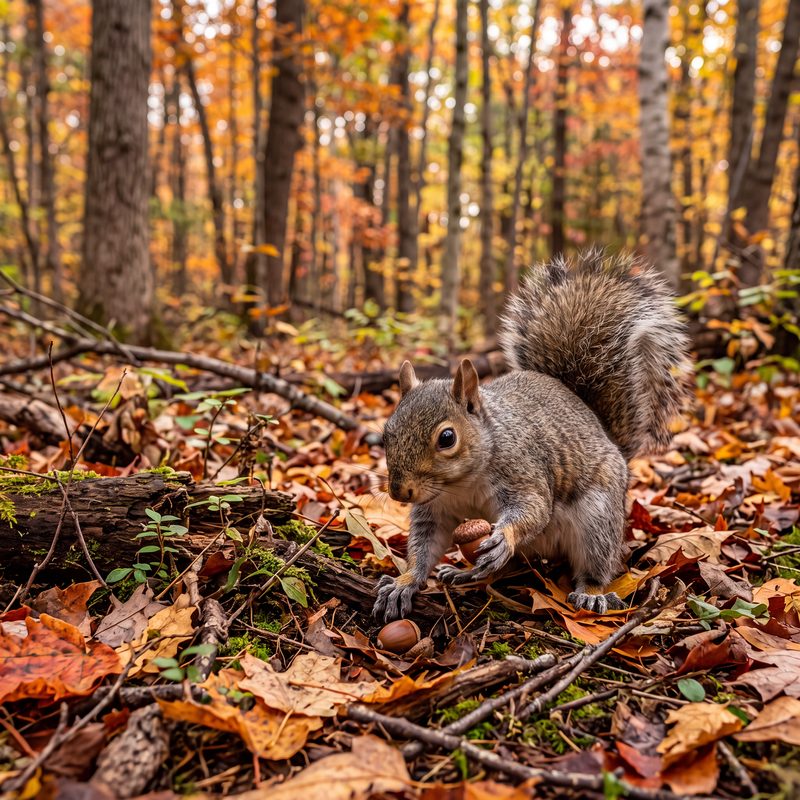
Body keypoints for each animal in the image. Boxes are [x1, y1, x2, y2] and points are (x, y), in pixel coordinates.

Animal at [373, 250, 690, 621]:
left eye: (447, 438)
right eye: (386, 435)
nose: (399, 491)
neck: (461, 484)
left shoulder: (522, 471)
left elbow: (535, 508)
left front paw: (504, 537)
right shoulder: (434, 509)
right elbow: (424, 545)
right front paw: (403, 582)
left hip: (598, 518)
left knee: (597, 563)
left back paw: (591, 594)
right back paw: (467, 573)